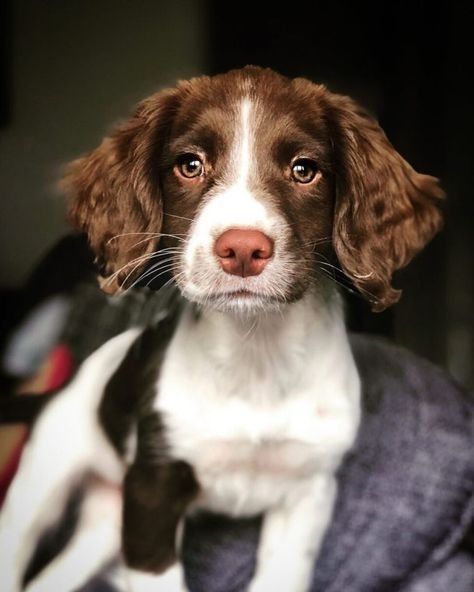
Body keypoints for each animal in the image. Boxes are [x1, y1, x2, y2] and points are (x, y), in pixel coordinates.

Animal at [0, 67, 444, 588]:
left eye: (304, 169)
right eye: (190, 165)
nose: (244, 249)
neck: (255, 353)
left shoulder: (308, 491)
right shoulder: (153, 486)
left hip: (106, 523)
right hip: (47, 473)